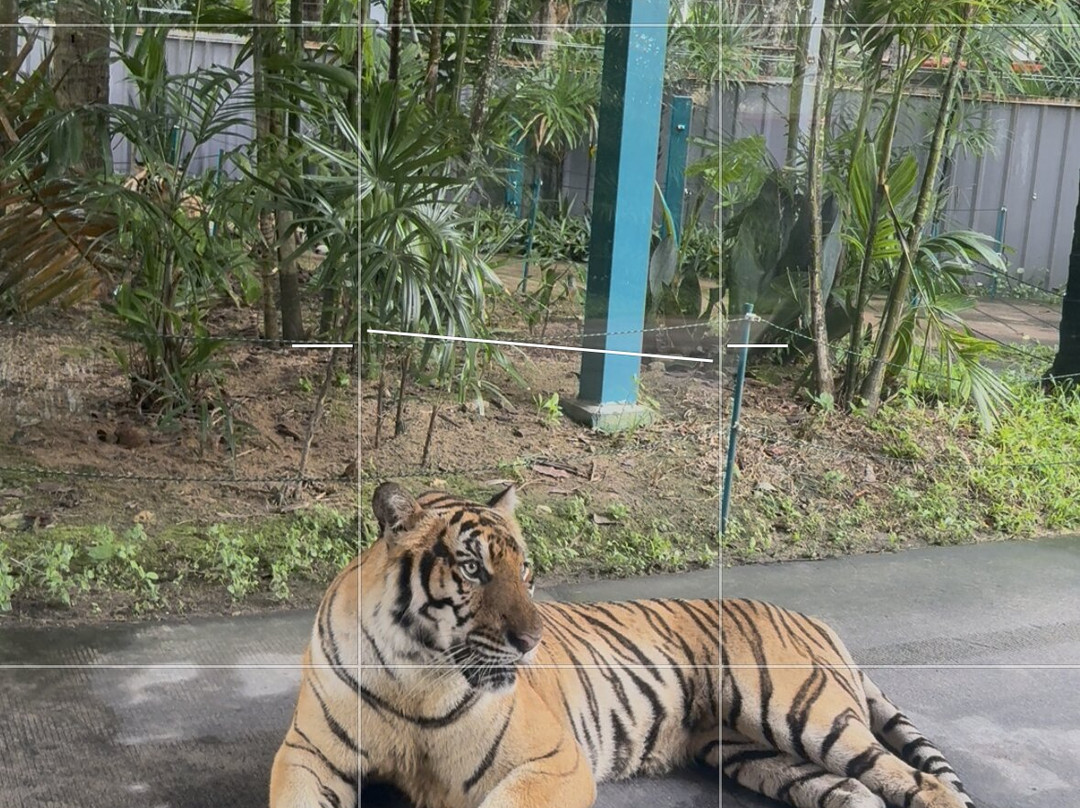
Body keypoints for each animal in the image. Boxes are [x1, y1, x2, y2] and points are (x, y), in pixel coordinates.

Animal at [269, 482, 974, 808]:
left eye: (526, 571)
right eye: (472, 569)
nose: (532, 641)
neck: (413, 673)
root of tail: (814, 617)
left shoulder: (554, 761)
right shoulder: (309, 755)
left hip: (804, 713)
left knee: (920, 783)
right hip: (749, 749)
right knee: (859, 792)